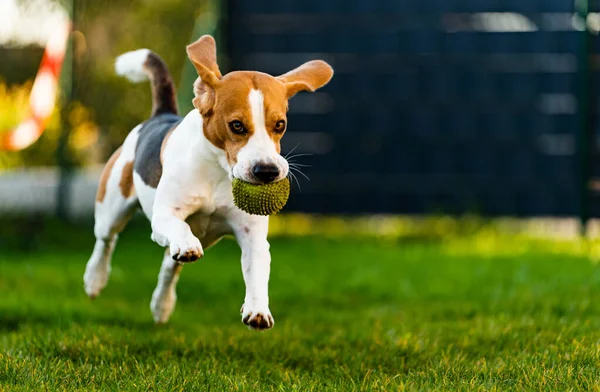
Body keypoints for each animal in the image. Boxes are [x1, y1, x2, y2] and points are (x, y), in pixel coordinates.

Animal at [82, 36, 332, 330]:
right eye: (237, 125)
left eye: (280, 125)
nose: (267, 171)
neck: (219, 172)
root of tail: (161, 115)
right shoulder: (164, 217)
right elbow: (177, 227)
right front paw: (186, 244)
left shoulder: (253, 236)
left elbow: (257, 272)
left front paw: (258, 310)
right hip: (112, 207)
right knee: (106, 240)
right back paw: (95, 279)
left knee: (169, 267)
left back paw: (162, 305)